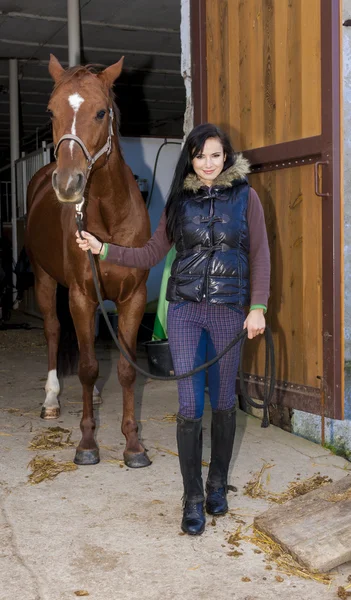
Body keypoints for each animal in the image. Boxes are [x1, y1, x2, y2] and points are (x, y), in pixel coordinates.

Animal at [24, 55, 151, 468]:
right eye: (51, 111)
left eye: (101, 112)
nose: (68, 184)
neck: (110, 219)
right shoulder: (79, 296)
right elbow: (87, 368)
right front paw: (87, 443)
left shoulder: (133, 298)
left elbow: (125, 369)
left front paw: (134, 445)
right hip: (46, 282)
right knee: (52, 331)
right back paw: (51, 400)